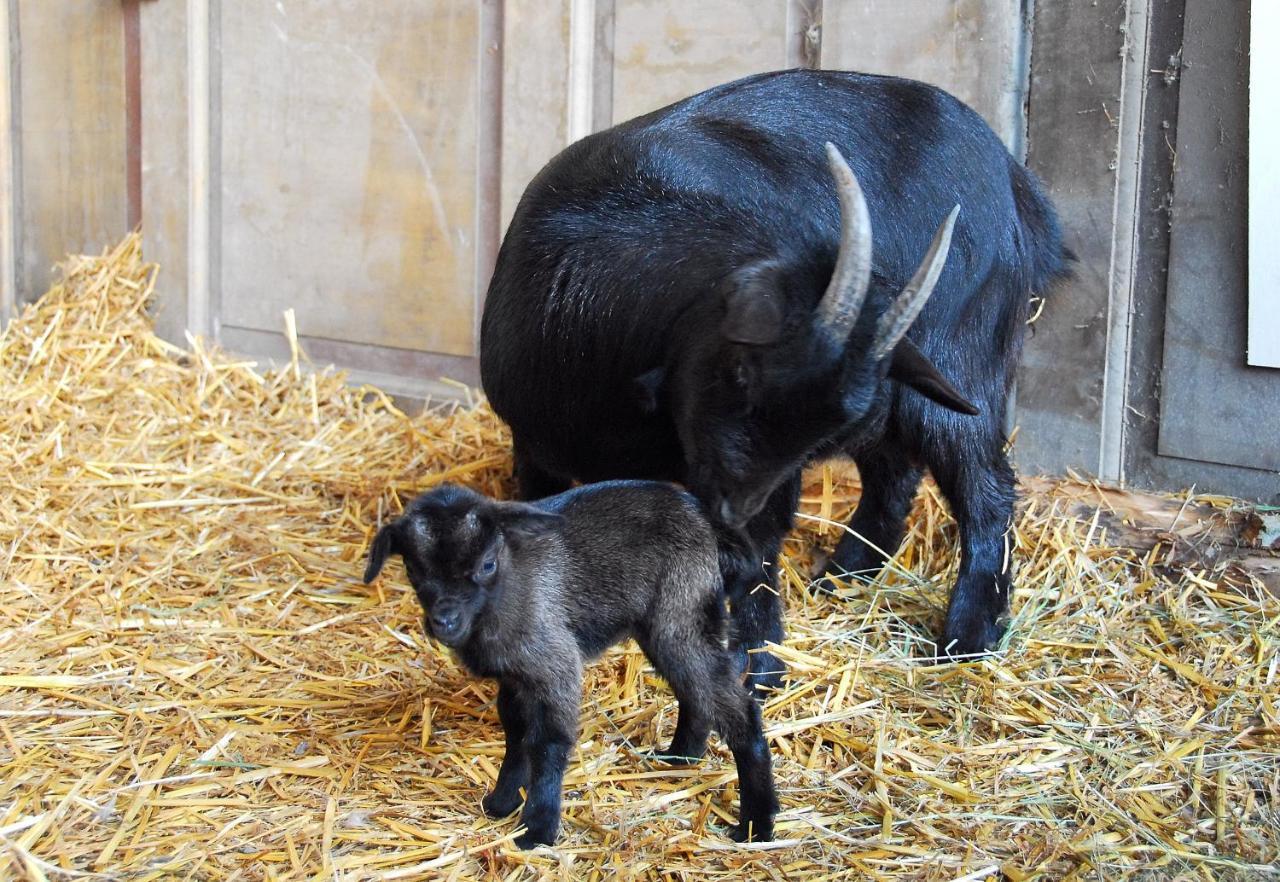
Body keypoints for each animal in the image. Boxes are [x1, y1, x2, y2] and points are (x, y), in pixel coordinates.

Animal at [363, 481, 778, 844]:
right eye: (414, 570)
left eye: (487, 564)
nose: (445, 622)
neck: (503, 595)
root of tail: (702, 516)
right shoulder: (515, 677)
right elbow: (517, 734)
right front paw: (502, 802)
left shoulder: (554, 662)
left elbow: (548, 741)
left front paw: (538, 830)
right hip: (666, 624)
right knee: (696, 691)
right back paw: (679, 757)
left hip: (681, 611)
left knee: (734, 704)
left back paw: (756, 825)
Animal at [481, 70, 1070, 686]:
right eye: (739, 372)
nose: (733, 511)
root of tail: (1019, 186)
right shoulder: (536, 447)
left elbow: (754, 555)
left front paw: (756, 663)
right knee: (894, 472)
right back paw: (844, 575)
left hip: (960, 359)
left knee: (985, 488)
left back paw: (967, 639)